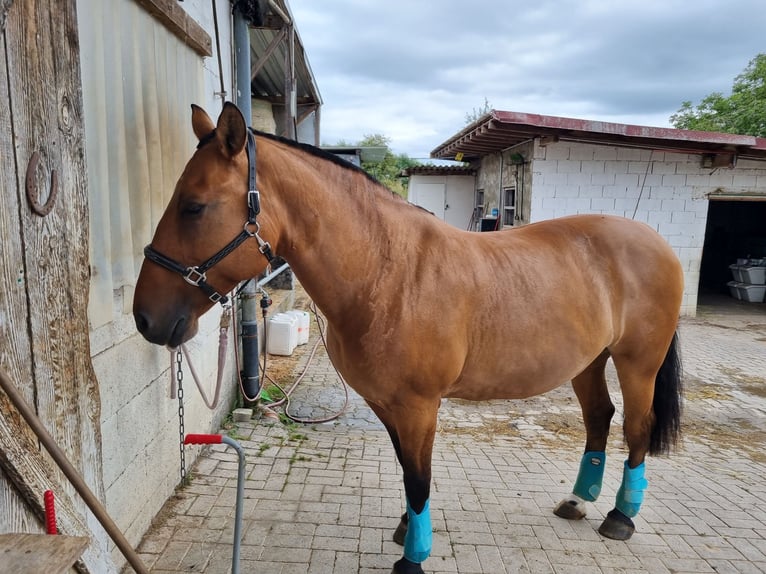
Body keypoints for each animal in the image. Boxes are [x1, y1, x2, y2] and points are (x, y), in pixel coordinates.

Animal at [132, 103, 684, 574]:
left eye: (194, 207)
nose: (145, 319)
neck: (388, 273)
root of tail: (657, 241)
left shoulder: (419, 406)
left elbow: (418, 477)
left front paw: (413, 557)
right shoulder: (386, 403)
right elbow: (405, 468)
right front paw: (405, 530)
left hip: (638, 363)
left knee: (636, 428)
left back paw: (621, 517)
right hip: (588, 361)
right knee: (600, 418)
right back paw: (577, 500)